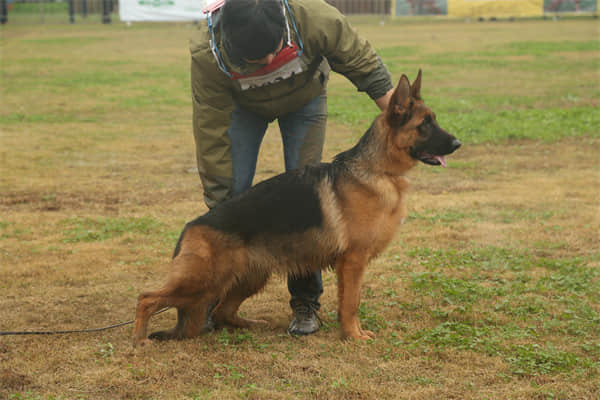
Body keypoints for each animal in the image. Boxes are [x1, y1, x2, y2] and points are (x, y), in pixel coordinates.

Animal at [132, 70, 460, 346]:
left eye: (434, 120)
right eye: (424, 125)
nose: (458, 143)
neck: (377, 169)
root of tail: (190, 227)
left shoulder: (348, 265)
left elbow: (346, 302)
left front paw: (347, 332)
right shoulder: (353, 261)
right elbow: (351, 303)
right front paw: (354, 336)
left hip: (245, 278)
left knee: (224, 311)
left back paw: (250, 324)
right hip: (203, 281)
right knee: (146, 298)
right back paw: (139, 341)